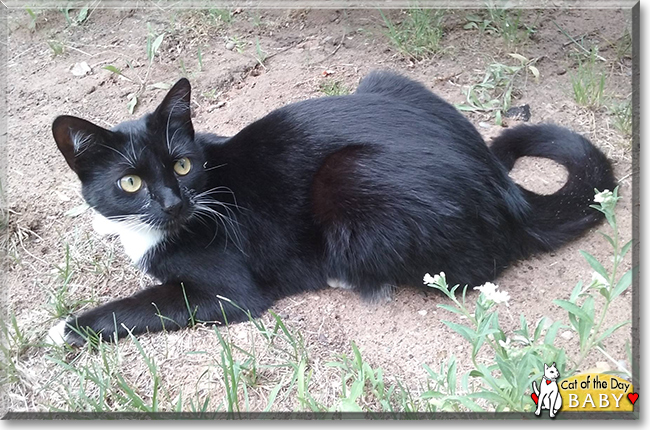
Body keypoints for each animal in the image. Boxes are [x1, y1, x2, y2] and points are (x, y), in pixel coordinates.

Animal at [48, 70, 616, 346]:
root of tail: (505, 187)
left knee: (472, 269)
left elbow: (140, 307)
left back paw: (347, 271)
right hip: (384, 79)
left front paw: (65, 329)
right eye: (130, 182)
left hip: (348, 176)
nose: (173, 202)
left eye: (183, 166)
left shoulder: (227, 293)